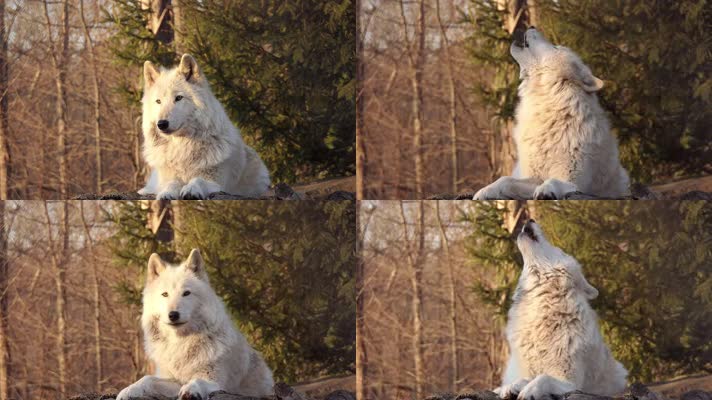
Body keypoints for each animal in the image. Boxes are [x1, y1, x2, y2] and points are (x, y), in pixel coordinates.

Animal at [115, 248, 274, 398]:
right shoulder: (174, 380)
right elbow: (147, 378)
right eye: (165, 294)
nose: (173, 315)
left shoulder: (216, 381)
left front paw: (190, 390)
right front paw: (129, 390)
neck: (181, 343)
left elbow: (197, 380)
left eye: (186, 293)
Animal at [138, 55, 272, 200]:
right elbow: (172, 183)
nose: (161, 124)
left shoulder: (217, 182)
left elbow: (198, 180)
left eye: (178, 98)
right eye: (158, 101)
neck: (182, 148)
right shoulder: (168, 177)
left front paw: (191, 189)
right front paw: (167, 192)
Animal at [472, 27, 628, 200]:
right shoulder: (534, 177)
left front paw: (546, 190)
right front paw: (484, 192)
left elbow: (553, 180)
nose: (532, 26)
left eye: (555, 47)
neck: (548, 116)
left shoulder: (574, 182)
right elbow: (505, 180)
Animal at [496, 219, 628, 400]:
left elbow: (543, 377)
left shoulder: (572, 383)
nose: (530, 219)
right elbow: (525, 378)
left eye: (557, 248)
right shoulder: (528, 370)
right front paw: (512, 387)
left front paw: (529, 390)